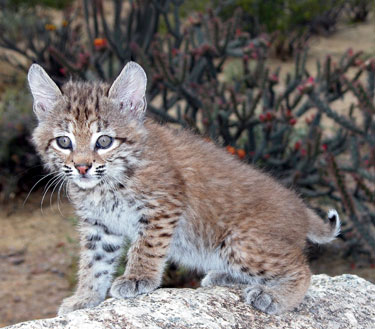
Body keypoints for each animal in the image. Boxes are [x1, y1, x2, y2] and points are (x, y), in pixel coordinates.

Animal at [28, 62, 340, 316]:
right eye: (64, 142)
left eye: (104, 141)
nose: (82, 167)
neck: (103, 186)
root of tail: (300, 206)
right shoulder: (100, 225)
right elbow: (94, 263)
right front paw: (84, 298)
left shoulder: (163, 205)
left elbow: (146, 245)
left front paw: (137, 278)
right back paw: (226, 277)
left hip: (240, 242)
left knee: (303, 269)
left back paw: (274, 296)